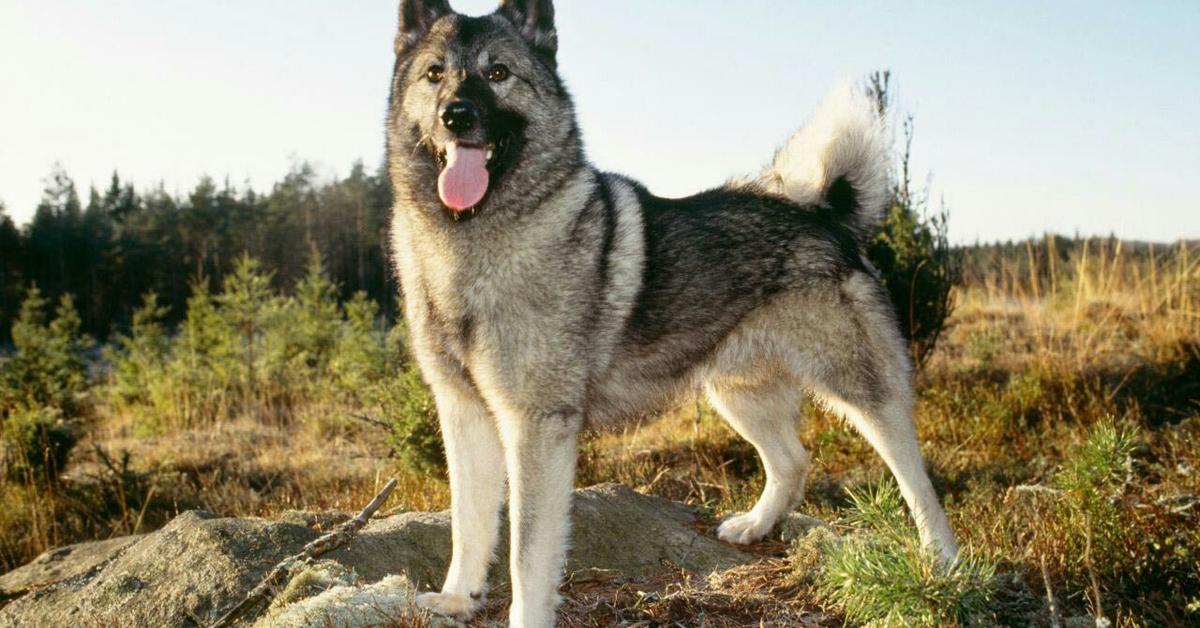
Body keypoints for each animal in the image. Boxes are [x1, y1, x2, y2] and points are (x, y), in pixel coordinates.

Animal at [388, 1, 960, 624]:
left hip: (860, 387)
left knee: (915, 477)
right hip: (738, 391)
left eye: (498, 73)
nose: (455, 115)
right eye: (435, 74)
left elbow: (526, 554)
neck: (470, 241)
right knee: (792, 461)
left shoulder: (536, 426)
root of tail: (822, 213)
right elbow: (468, 524)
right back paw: (757, 526)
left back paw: (944, 562)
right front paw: (457, 597)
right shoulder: (465, 414)